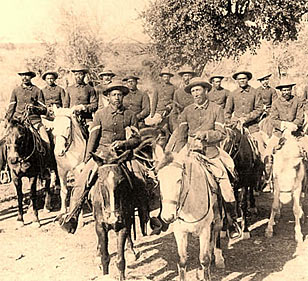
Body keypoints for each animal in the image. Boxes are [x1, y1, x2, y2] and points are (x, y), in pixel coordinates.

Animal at [154, 144, 224, 280]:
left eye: (179, 180)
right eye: (159, 179)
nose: (168, 217)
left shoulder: (204, 229)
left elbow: (204, 260)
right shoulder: (179, 231)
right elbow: (182, 261)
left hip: (217, 213)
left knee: (216, 229)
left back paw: (218, 257)